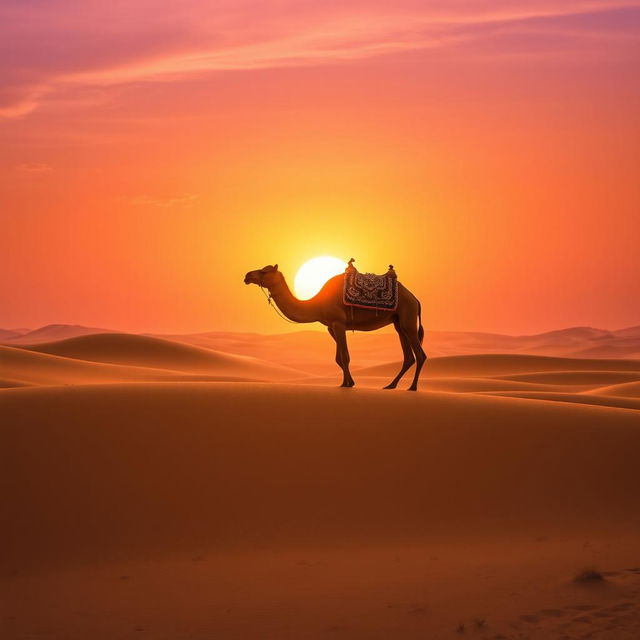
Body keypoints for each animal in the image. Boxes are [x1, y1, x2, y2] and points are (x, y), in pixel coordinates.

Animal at [242, 262, 428, 390]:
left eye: (264, 271)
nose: (247, 276)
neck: (317, 304)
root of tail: (415, 299)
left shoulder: (339, 323)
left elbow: (345, 356)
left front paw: (346, 384)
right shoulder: (331, 326)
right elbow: (339, 358)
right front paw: (349, 382)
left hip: (408, 318)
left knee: (420, 354)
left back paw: (412, 387)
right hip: (399, 323)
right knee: (408, 356)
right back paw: (391, 385)